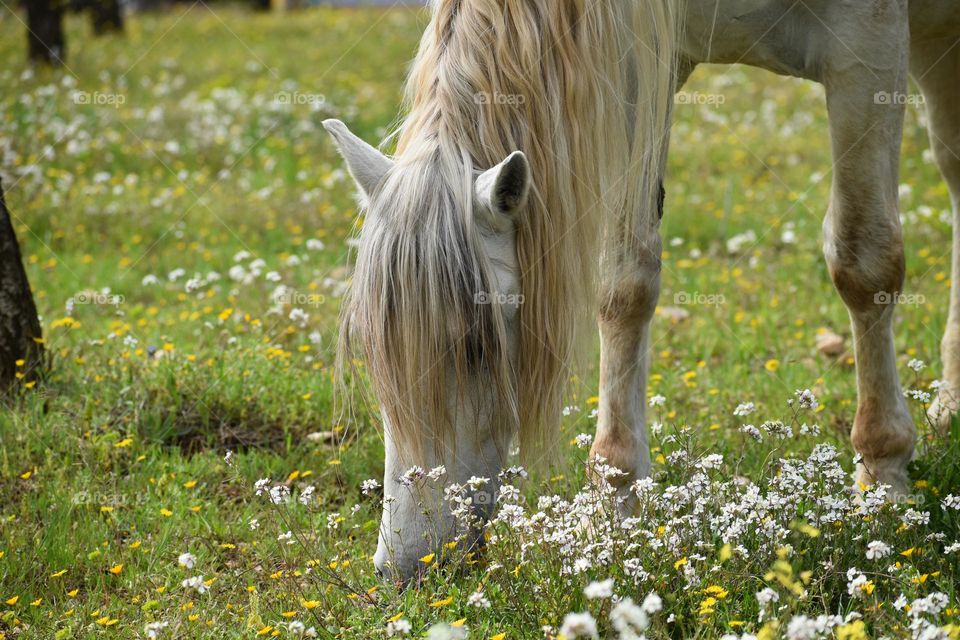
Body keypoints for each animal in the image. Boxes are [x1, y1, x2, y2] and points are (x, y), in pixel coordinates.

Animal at [324, 0, 960, 581]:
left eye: (476, 349)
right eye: (373, 355)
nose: (407, 567)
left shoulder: (868, 46)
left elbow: (863, 263)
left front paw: (882, 479)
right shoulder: (638, 65)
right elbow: (624, 281)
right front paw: (617, 499)